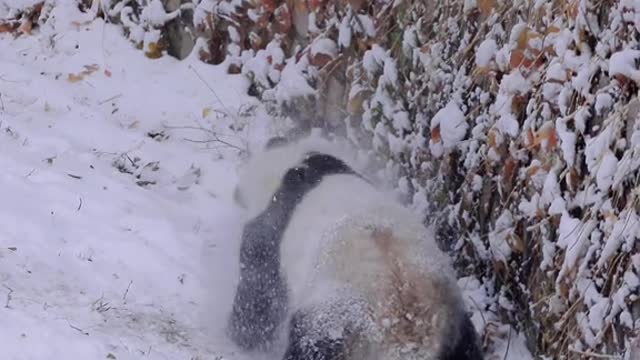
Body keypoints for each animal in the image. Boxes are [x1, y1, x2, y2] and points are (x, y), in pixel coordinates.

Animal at [228, 136, 482, 360]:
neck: (287, 168)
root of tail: (408, 336)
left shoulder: (270, 233)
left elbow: (257, 295)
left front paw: (240, 336)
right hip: (458, 331)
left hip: (333, 325)